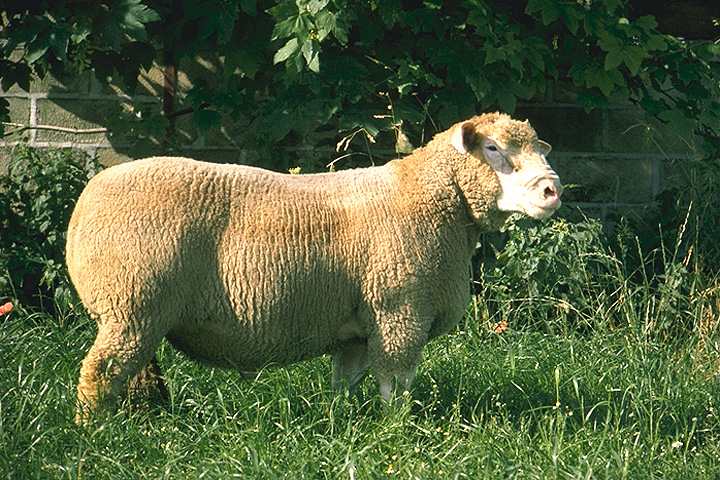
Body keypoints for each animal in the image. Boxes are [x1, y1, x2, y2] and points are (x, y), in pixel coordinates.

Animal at [66, 112, 563, 422]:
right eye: (493, 148)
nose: (552, 189)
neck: (430, 198)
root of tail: (84, 205)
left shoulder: (361, 326)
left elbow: (345, 382)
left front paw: (340, 424)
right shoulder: (400, 314)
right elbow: (396, 385)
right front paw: (397, 431)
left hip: (136, 312)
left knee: (131, 375)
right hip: (132, 304)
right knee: (100, 373)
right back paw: (92, 432)